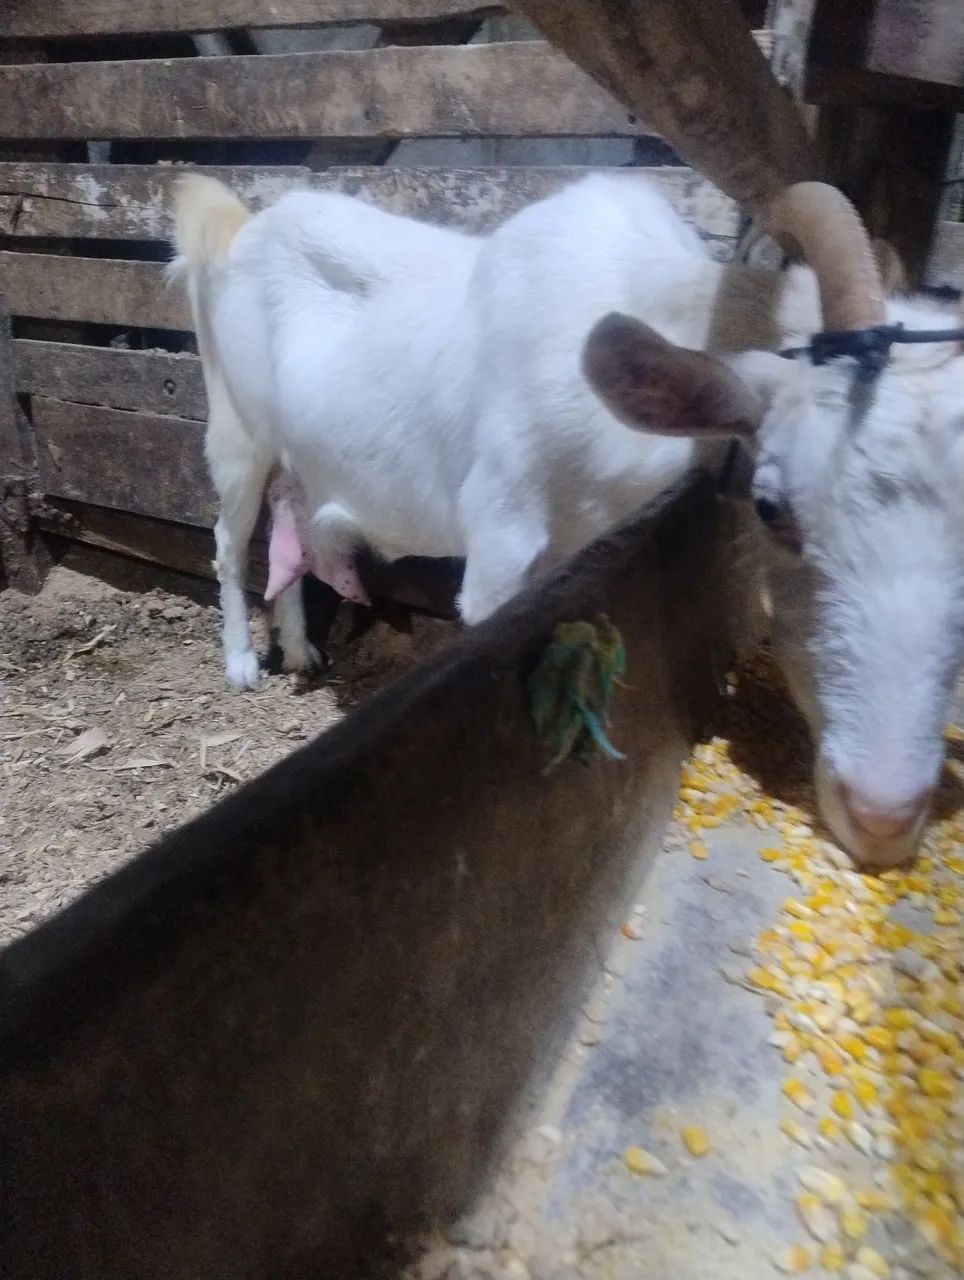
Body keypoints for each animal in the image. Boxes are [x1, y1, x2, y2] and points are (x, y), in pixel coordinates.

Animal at [172, 172, 964, 868]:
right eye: (771, 508)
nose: (882, 817)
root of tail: (241, 228)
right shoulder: (502, 531)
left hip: (299, 457)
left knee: (291, 515)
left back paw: (302, 651)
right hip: (237, 431)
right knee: (228, 538)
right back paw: (243, 663)